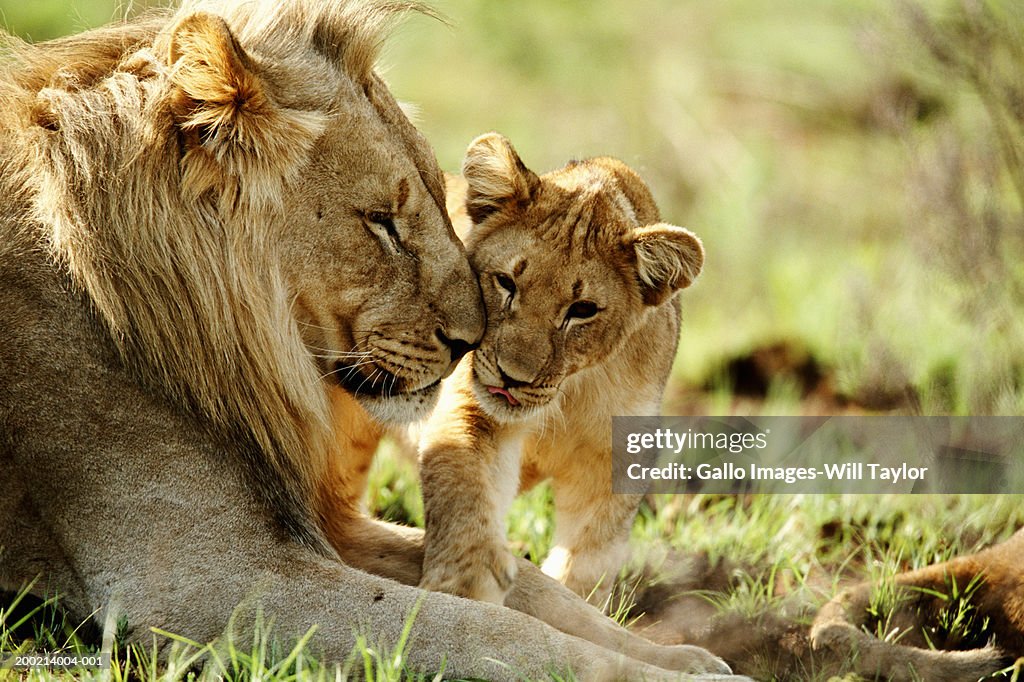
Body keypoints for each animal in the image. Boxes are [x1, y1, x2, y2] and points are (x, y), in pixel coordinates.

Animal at [0, 2, 745, 675]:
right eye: (382, 221)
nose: (470, 344)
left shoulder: (324, 528)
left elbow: (531, 585)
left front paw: (680, 654)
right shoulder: (199, 582)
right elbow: (478, 629)